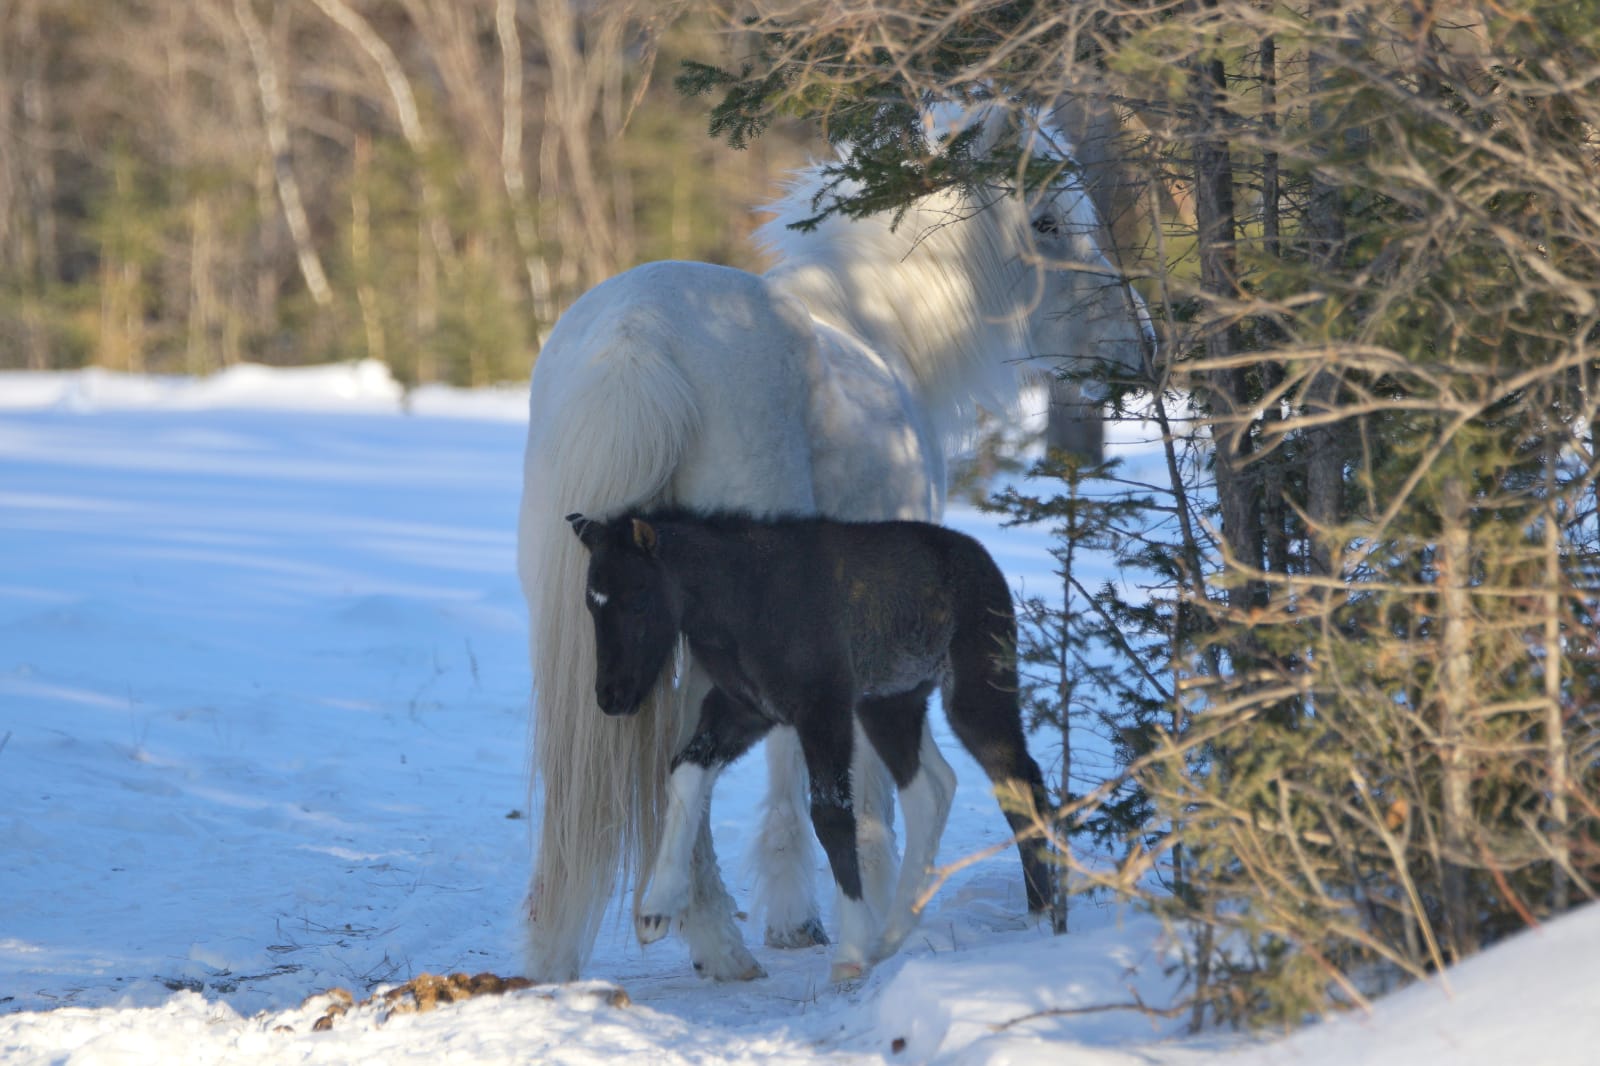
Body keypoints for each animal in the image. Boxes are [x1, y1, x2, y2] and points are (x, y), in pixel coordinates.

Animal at [518, 118, 1145, 979]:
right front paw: (850, 912)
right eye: (1047, 221)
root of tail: (633, 342)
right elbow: (854, 785)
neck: (878, 322)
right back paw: (714, 940)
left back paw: (578, 948)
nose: (1136, 346)